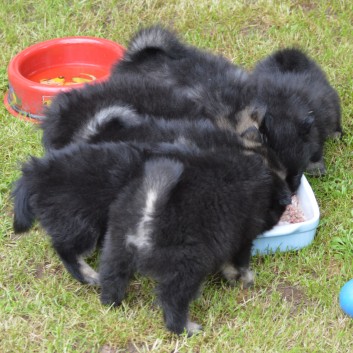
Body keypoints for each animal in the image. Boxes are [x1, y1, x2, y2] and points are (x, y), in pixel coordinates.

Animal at [250, 48, 340, 188]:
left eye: (297, 172)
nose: (291, 190)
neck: (282, 113)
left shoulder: (316, 126)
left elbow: (316, 149)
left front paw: (316, 168)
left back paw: (336, 134)